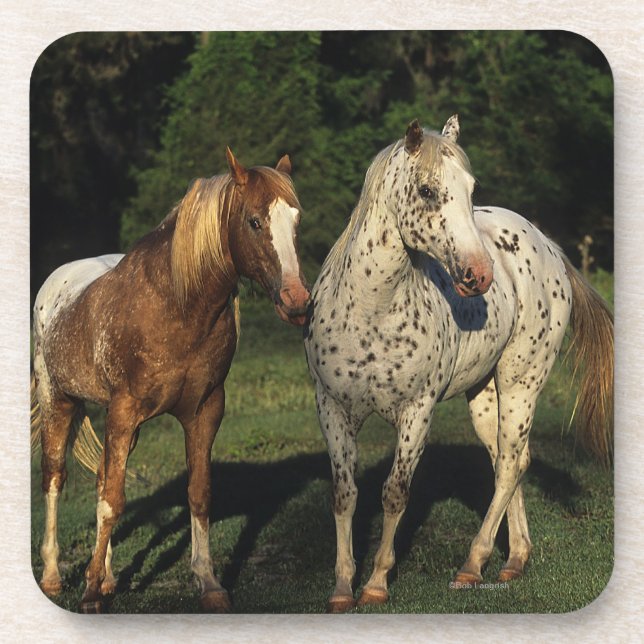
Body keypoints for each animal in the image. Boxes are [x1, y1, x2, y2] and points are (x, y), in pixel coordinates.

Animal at [31, 148, 310, 613]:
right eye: (254, 221)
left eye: (296, 220)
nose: (297, 301)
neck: (176, 306)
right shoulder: (124, 411)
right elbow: (112, 501)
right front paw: (88, 594)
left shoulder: (204, 411)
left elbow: (197, 493)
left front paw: (209, 584)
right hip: (60, 401)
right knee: (55, 478)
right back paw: (54, 577)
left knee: (102, 476)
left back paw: (108, 577)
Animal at [303, 116, 613, 612]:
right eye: (427, 190)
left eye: (471, 188)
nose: (479, 274)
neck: (371, 308)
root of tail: (547, 244)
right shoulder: (332, 408)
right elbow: (345, 495)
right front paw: (341, 588)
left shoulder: (417, 413)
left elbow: (395, 493)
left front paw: (376, 583)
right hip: (484, 397)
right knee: (512, 459)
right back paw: (515, 560)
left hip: (521, 383)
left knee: (508, 466)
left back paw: (472, 564)